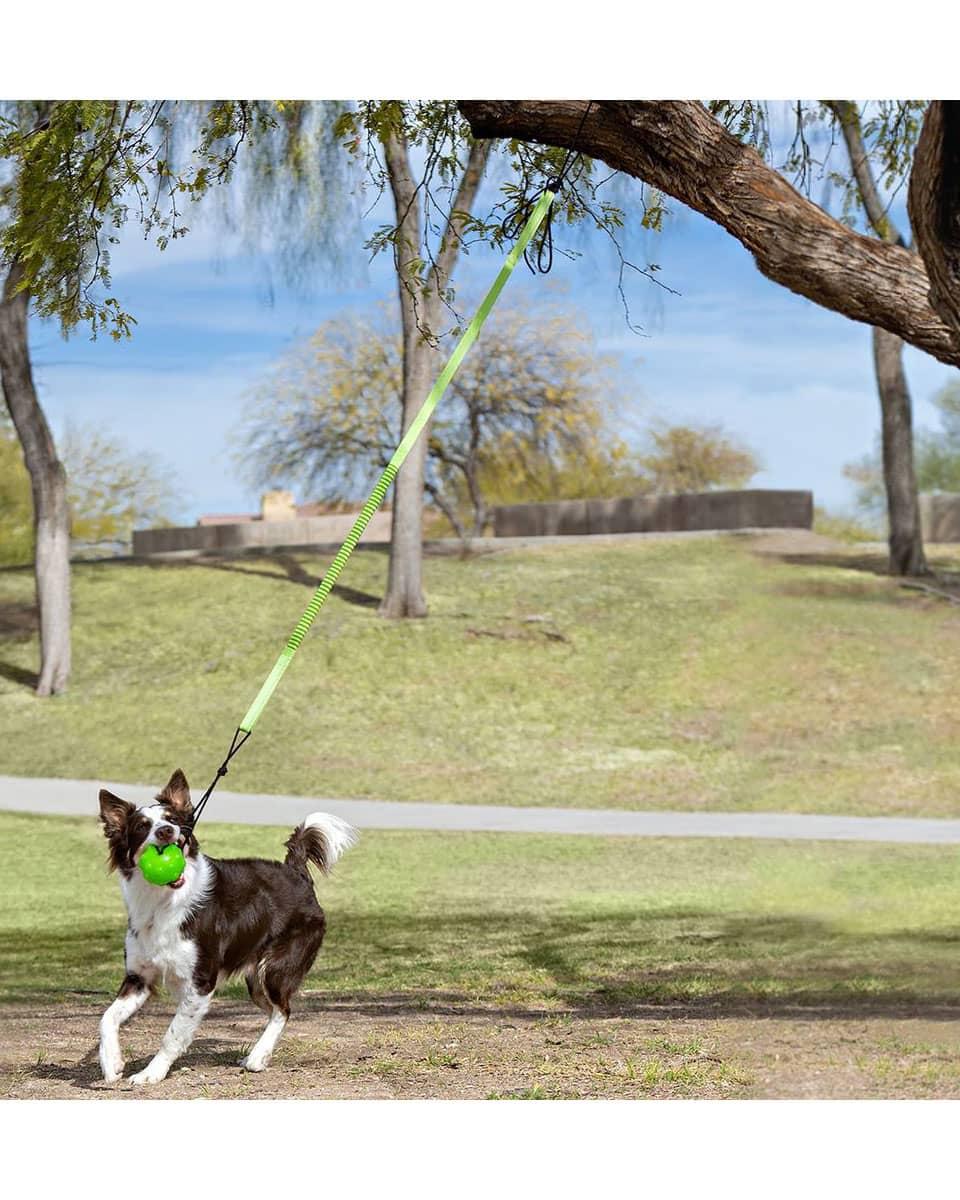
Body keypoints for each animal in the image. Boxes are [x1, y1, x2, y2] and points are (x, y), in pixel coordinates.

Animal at [96, 768, 355, 1089]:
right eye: (143, 826)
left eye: (172, 819)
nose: (166, 831)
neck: (163, 900)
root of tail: (295, 870)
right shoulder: (139, 978)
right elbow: (106, 1018)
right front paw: (111, 1063)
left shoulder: (201, 982)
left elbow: (173, 1034)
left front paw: (151, 1072)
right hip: (255, 981)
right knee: (274, 1009)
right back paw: (257, 1055)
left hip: (276, 968)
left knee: (283, 1009)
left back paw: (257, 1058)